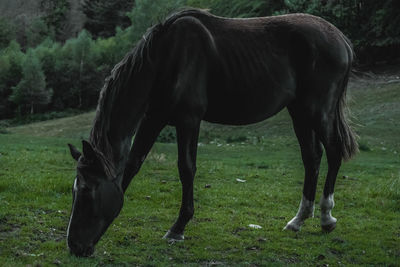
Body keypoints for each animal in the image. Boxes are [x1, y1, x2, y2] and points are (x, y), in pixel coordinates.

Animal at [66, 8, 360, 258]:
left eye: (88, 190)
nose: (75, 246)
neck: (166, 57)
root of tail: (341, 40)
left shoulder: (188, 119)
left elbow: (186, 168)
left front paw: (178, 228)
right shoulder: (154, 118)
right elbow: (134, 162)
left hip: (318, 111)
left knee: (333, 152)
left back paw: (326, 217)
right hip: (299, 111)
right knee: (312, 158)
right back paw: (298, 220)